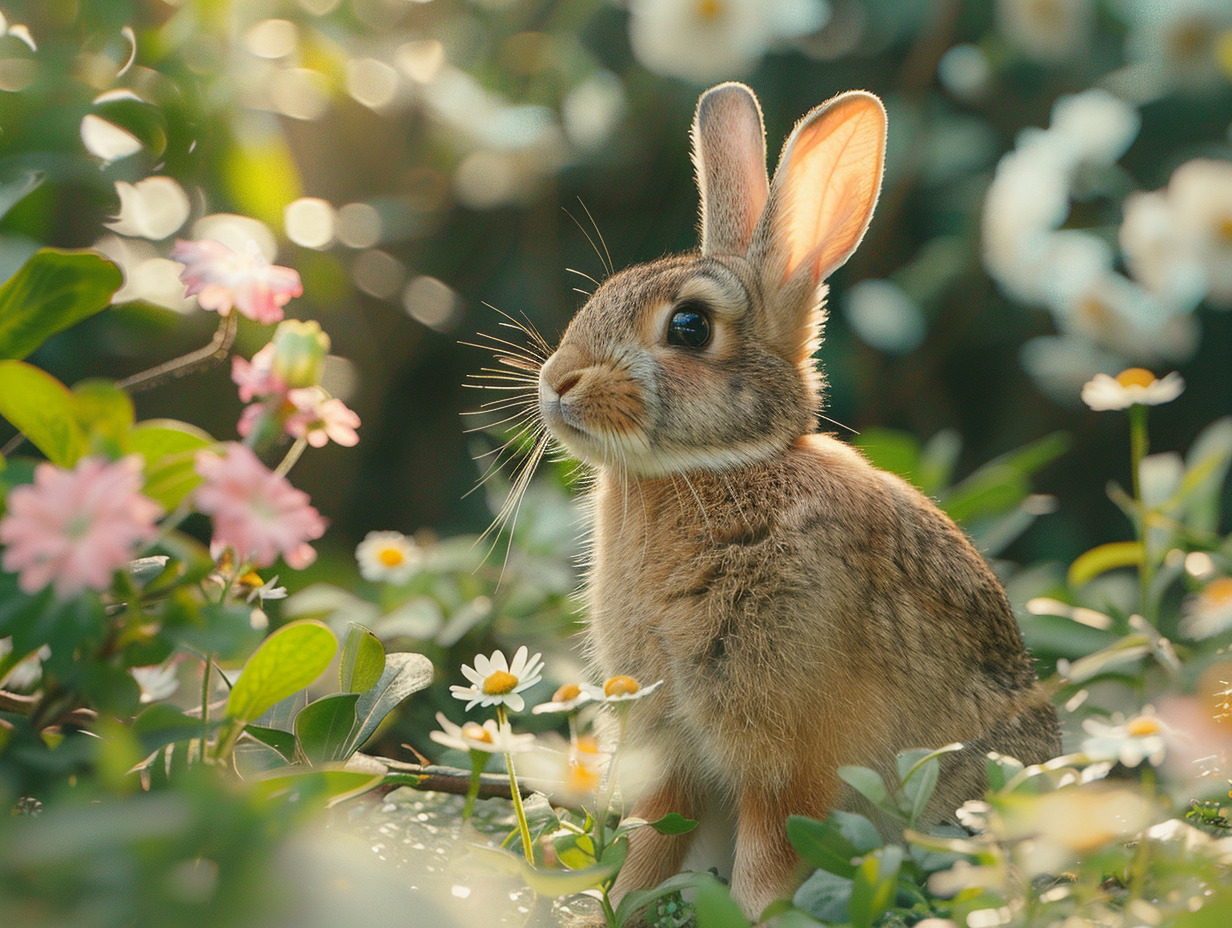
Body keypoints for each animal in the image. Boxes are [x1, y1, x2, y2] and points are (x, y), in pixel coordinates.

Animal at [529, 81, 1059, 921]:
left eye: (689, 326)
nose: (558, 382)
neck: (717, 469)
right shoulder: (668, 746)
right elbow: (649, 848)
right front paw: (614, 902)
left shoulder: (786, 758)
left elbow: (767, 862)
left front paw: (749, 914)